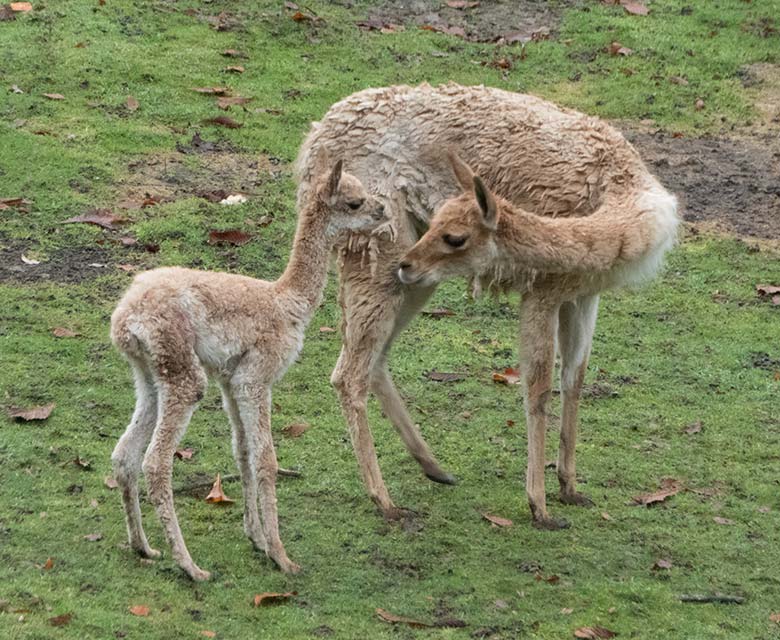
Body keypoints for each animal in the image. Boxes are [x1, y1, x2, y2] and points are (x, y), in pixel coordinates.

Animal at [111, 161, 386, 580]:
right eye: (354, 202)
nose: (383, 210)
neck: (287, 301)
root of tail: (126, 317)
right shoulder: (255, 378)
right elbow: (266, 460)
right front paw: (281, 555)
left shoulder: (230, 380)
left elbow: (242, 452)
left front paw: (256, 537)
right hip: (183, 373)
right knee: (155, 463)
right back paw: (190, 566)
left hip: (149, 374)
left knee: (125, 455)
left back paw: (143, 547)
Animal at [400, 152, 680, 528]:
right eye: (432, 224)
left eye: (454, 237)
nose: (405, 265)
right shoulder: (542, 292)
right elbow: (538, 389)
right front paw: (540, 507)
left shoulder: (583, 293)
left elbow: (574, 379)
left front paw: (570, 488)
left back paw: (428, 469)